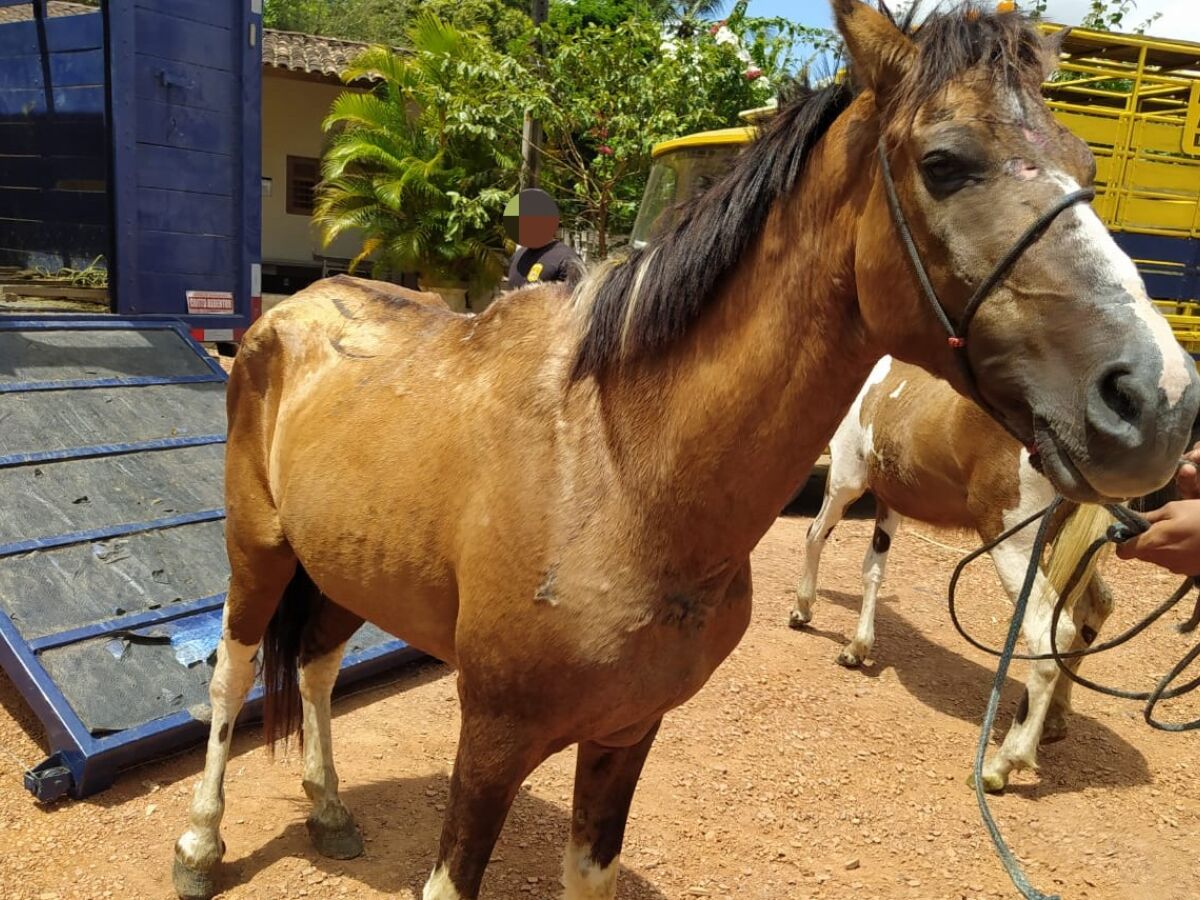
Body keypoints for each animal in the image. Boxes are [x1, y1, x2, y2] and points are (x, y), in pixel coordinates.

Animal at [796, 355, 1113, 792]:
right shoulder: (891, 500)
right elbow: (874, 569)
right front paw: (858, 648)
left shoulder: (847, 478)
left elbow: (815, 537)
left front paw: (803, 610)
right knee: (1094, 608)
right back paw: (1054, 719)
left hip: (1013, 546)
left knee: (1050, 629)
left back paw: (1002, 765)